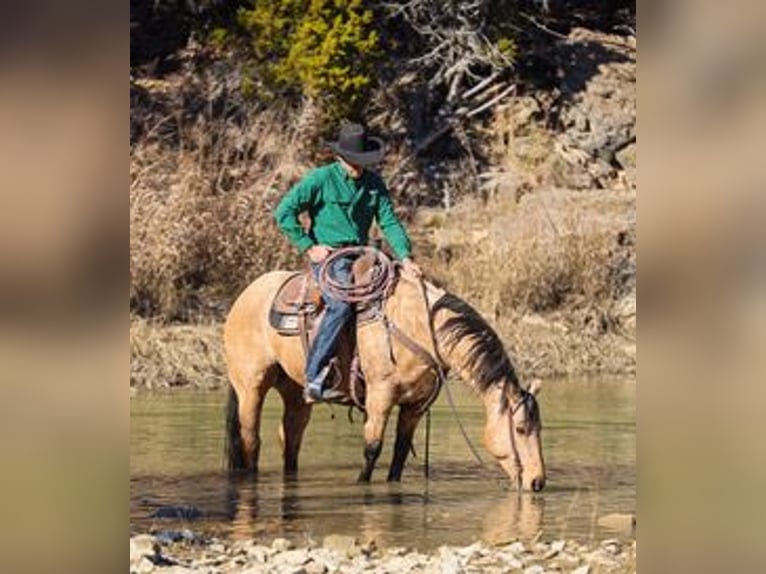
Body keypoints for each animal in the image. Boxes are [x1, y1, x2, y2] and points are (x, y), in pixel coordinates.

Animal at [223, 261, 546, 491]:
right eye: (520, 429)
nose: (537, 482)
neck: (418, 327)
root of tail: (244, 296)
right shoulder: (380, 398)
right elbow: (372, 449)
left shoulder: (415, 406)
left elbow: (399, 453)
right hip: (251, 386)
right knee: (250, 439)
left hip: (295, 393)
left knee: (290, 438)